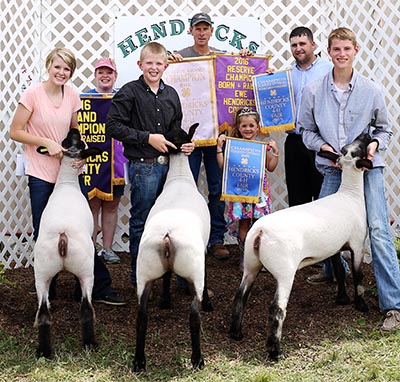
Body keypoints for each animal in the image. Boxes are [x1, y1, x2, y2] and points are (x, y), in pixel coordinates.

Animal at [33, 130, 101, 360]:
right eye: (78, 142)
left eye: (70, 140)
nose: (74, 130)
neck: (66, 185)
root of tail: (63, 235)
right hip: (86, 270)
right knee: (86, 310)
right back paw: (90, 344)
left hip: (41, 272)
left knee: (43, 314)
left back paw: (44, 352)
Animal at [133, 124, 214, 372]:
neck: (179, 177)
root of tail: (167, 237)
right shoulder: (203, 251)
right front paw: (209, 303)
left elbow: (168, 276)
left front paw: (166, 300)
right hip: (192, 269)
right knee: (194, 316)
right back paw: (197, 359)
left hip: (145, 271)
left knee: (141, 316)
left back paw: (139, 361)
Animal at [230, 133, 374, 360]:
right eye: (359, 148)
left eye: (349, 148)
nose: (366, 135)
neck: (350, 194)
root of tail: (260, 232)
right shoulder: (358, 245)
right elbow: (358, 276)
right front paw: (361, 305)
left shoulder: (334, 247)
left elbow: (340, 271)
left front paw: (341, 299)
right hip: (285, 271)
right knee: (277, 309)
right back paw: (274, 351)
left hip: (251, 265)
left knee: (240, 296)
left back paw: (236, 333)